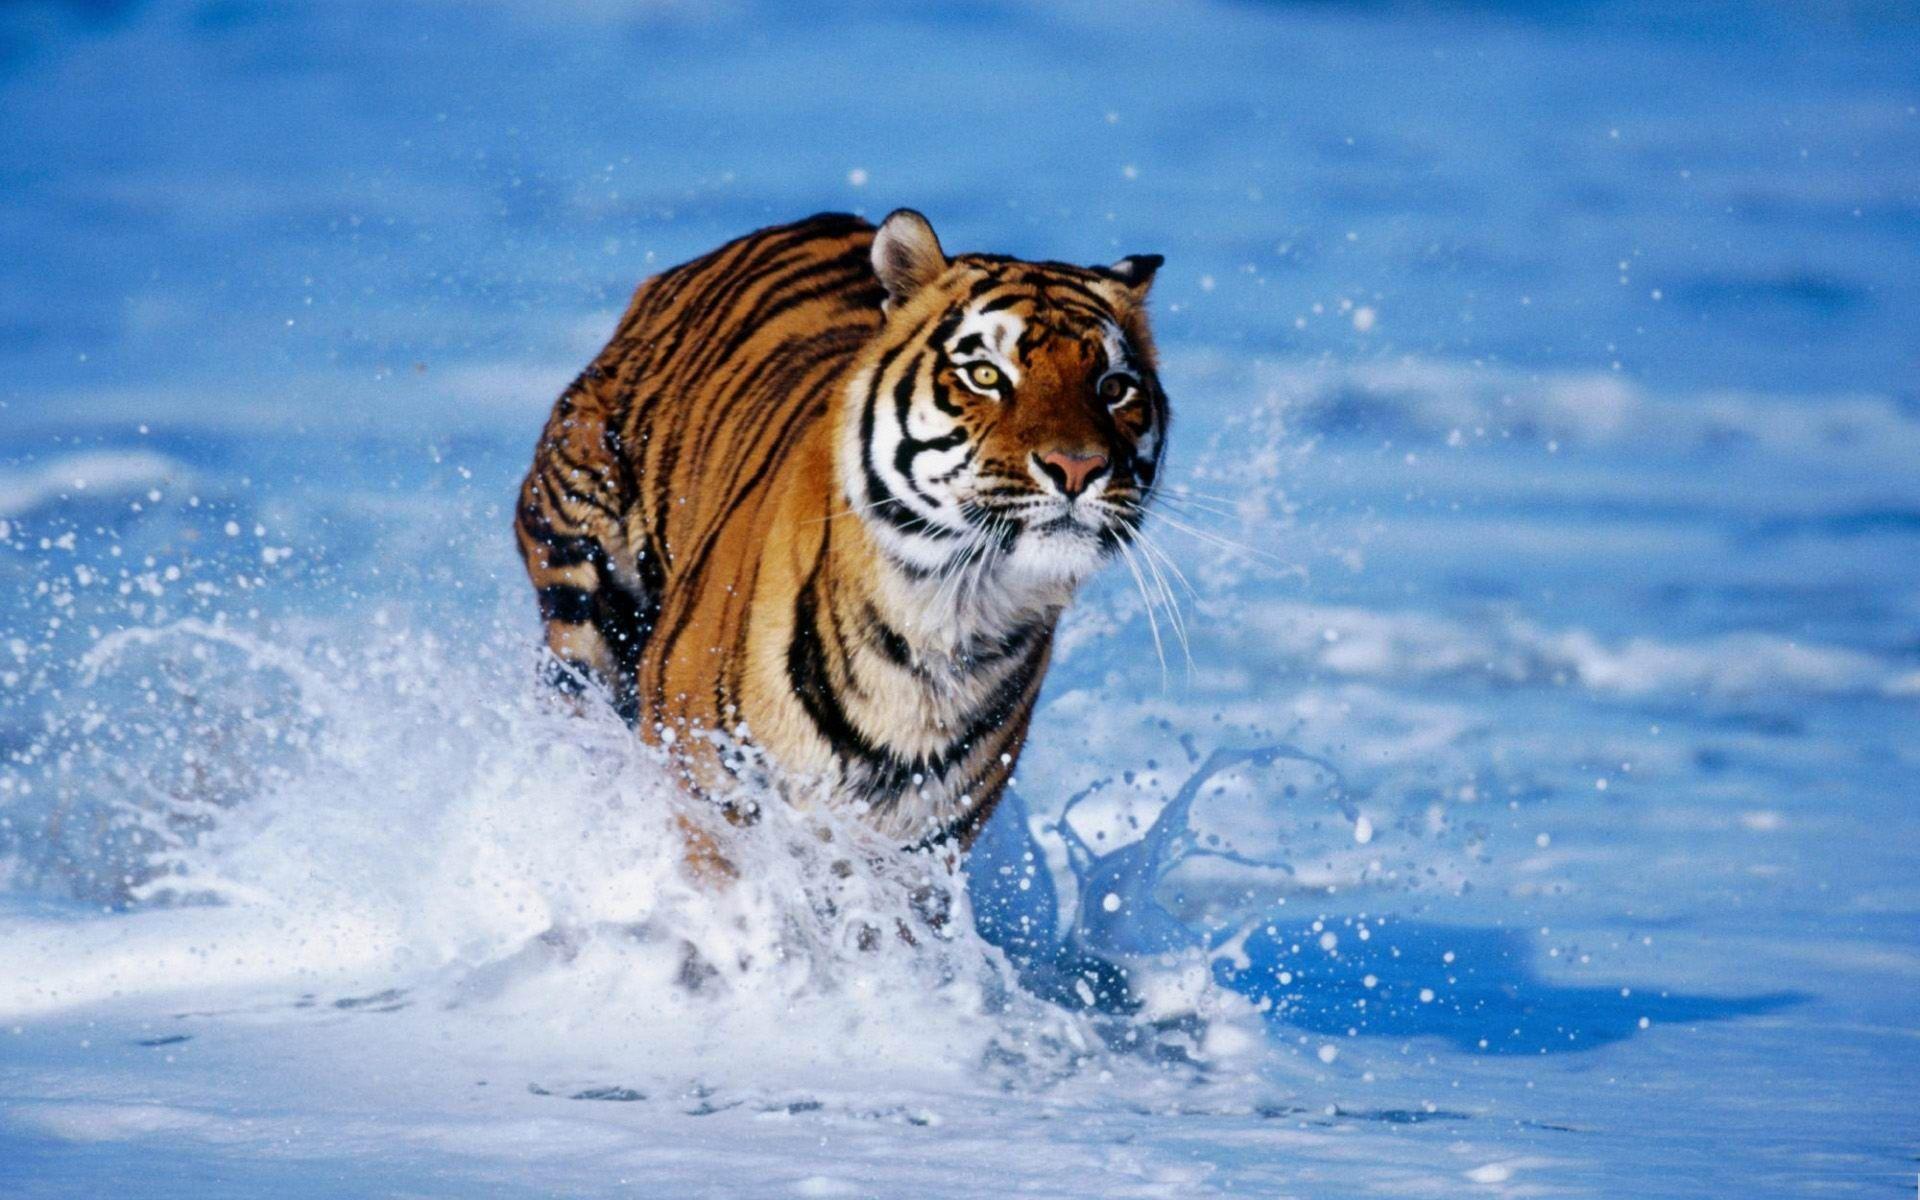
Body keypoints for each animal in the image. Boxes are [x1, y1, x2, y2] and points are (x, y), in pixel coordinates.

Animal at [515, 209, 1166, 852]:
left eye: (1114, 387)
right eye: (985, 374)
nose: (1077, 467)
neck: (947, 618)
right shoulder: (707, 790)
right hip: (583, 596)